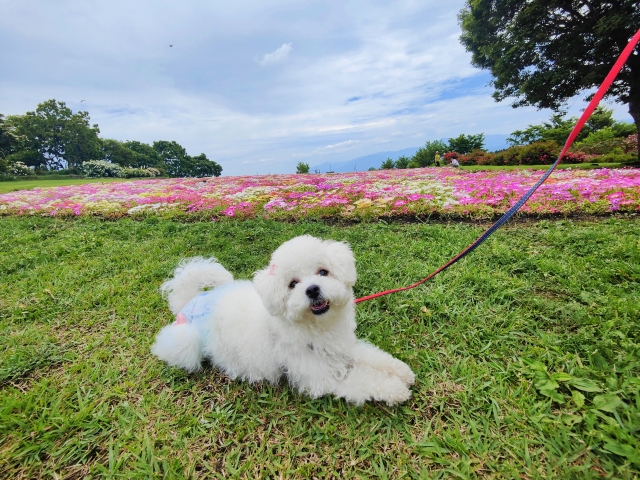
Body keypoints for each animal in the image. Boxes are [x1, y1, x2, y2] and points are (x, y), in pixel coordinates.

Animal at [153, 235, 418, 404]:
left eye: (323, 272)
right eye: (292, 284)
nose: (312, 289)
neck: (316, 328)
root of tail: (188, 301)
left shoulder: (343, 348)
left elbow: (372, 356)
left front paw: (401, 371)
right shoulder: (321, 377)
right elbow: (363, 380)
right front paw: (395, 389)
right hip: (185, 341)